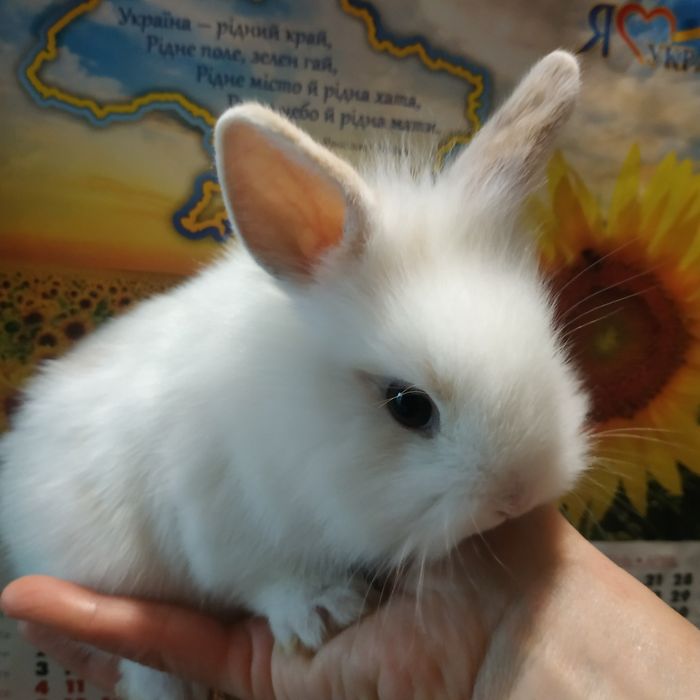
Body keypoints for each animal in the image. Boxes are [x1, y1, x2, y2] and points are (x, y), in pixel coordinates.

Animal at [0, 50, 589, 700]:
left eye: (552, 344)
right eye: (408, 405)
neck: (301, 412)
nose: (516, 495)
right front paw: (327, 610)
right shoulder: (224, 523)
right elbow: (263, 578)